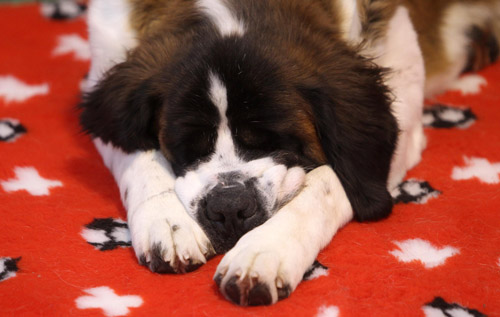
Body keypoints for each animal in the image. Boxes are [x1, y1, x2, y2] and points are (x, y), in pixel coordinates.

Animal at [80, 0, 498, 306]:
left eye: (273, 140)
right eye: (189, 147)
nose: (229, 207)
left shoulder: (402, 114)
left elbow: (329, 181)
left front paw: (265, 252)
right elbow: (137, 153)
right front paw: (164, 220)